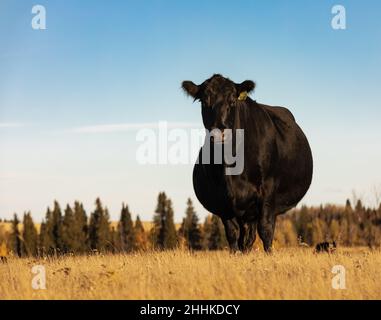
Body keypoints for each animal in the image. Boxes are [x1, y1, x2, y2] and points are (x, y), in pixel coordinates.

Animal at [182, 74, 312, 252]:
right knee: (246, 237)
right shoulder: (222, 201)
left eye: (232, 100)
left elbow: (265, 230)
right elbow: (232, 234)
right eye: (204, 100)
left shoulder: (267, 192)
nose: (219, 132)